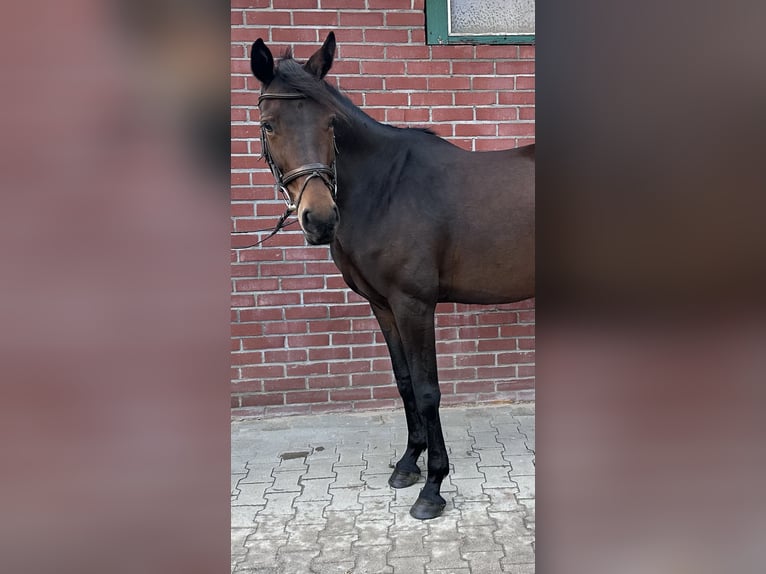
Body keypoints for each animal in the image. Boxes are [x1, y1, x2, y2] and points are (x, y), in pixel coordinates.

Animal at [249, 32, 534, 520]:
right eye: (269, 125)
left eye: (330, 123)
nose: (319, 220)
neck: (386, 190)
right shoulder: (382, 305)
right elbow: (403, 384)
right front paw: (407, 465)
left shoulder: (413, 304)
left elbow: (427, 389)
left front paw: (433, 488)